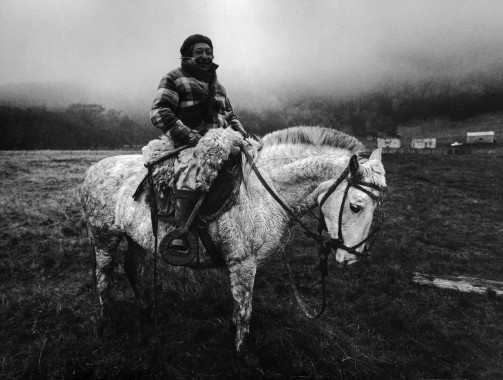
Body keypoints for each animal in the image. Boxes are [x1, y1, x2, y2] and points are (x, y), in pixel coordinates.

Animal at [80, 126, 388, 352]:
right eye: (356, 206)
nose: (351, 256)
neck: (266, 190)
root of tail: (93, 170)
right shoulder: (243, 263)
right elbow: (244, 310)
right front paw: (240, 350)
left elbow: (238, 305)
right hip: (104, 237)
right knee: (103, 278)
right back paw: (104, 324)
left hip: (135, 239)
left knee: (133, 269)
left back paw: (146, 312)